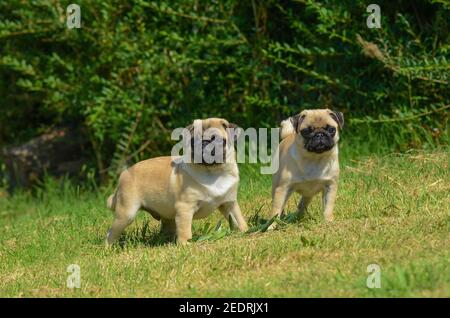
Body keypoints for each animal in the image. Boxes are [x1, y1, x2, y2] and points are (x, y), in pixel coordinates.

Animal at [107, 118, 250, 245]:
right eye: (193, 141)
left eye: (218, 140)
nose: (203, 143)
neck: (213, 172)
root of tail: (124, 173)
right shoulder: (185, 208)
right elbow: (185, 229)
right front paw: (185, 244)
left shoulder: (229, 204)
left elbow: (239, 219)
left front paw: (246, 231)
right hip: (127, 214)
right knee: (111, 233)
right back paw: (109, 247)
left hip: (167, 218)